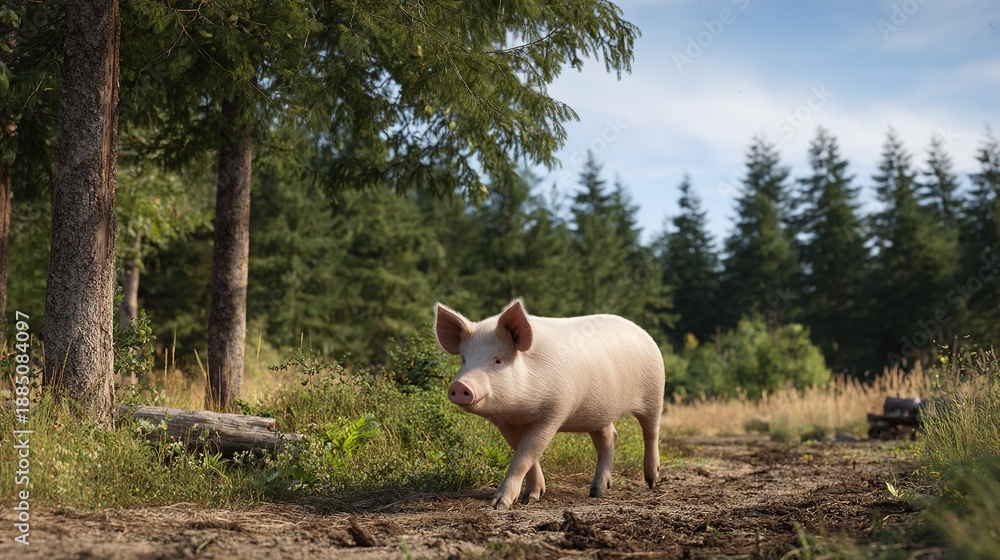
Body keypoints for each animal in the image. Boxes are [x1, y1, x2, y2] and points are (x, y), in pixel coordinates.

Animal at [434, 298, 665, 510]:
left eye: (498, 360)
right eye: (464, 359)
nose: (460, 385)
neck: (520, 411)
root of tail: (641, 331)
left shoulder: (553, 413)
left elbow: (526, 454)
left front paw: (500, 505)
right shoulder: (507, 423)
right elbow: (523, 452)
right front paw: (531, 497)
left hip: (655, 391)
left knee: (651, 432)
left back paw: (652, 481)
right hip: (598, 412)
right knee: (609, 438)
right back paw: (596, 491)